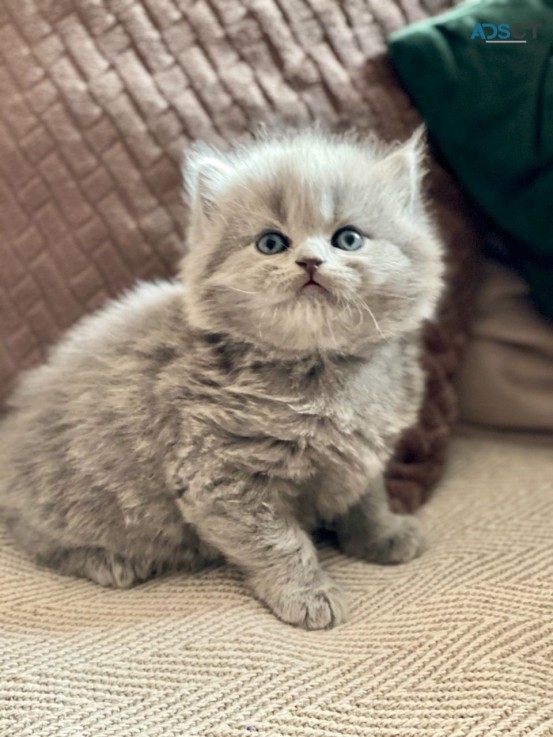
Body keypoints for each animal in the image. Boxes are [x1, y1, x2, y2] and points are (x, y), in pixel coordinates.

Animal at [0, 126, 442, 628]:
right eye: (271, 243)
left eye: (348, 239)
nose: (310, 261)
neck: (323, 370)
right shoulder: (221, 475)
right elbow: (280, 544)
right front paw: (308, 594)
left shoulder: (362, 453)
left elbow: (366, 499)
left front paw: (383, 536)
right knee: (38, 539)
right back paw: (110, 561)